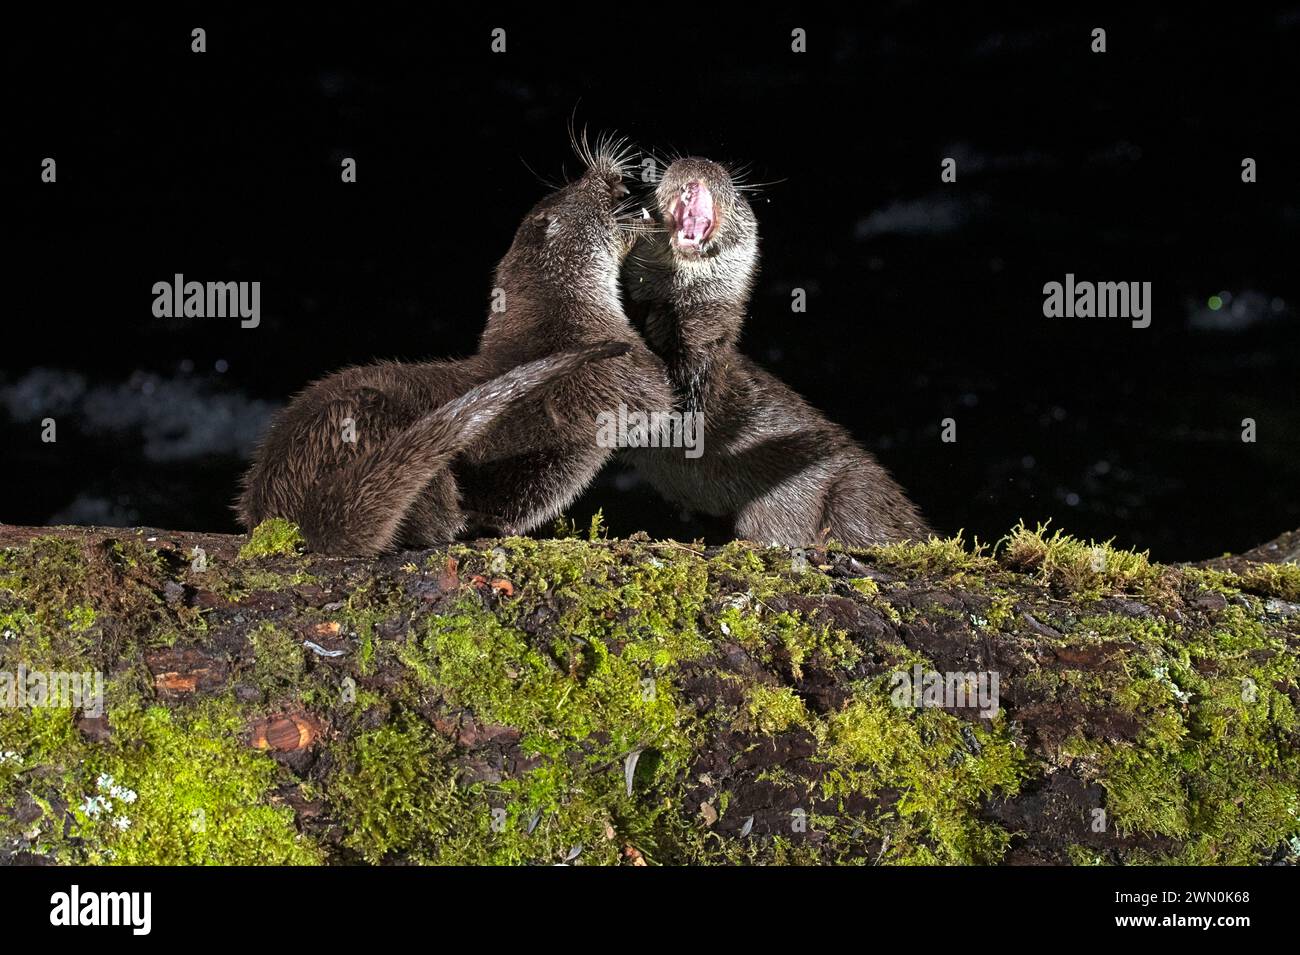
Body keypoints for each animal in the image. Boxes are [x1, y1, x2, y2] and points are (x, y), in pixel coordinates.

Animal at [237, 130, 676, 556]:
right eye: (578, 184)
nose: (603, 171)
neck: (569, 316)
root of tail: (285, 512)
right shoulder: (625, 375)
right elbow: (660, 399)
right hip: (364, 418)